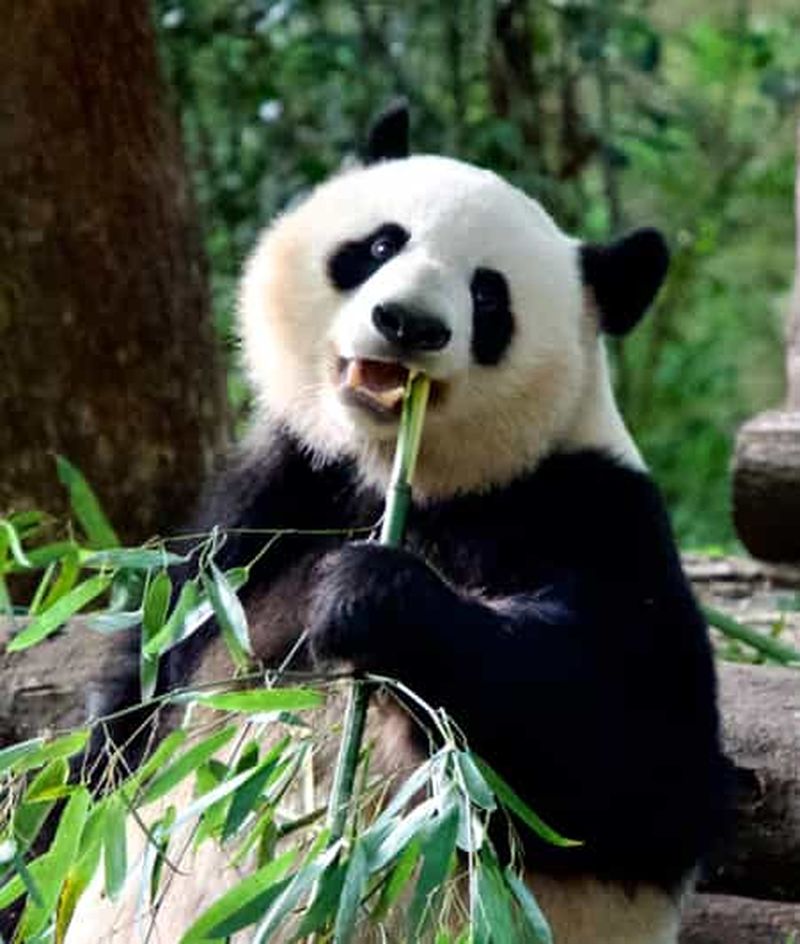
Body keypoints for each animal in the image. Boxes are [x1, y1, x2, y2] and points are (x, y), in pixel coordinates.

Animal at [66, 102, 726, 944]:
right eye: (381, 245)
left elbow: (644, 762)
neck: (399, 477)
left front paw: (365, 594)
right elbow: (143, 682)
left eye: (488, 297)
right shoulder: (277, 498)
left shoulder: (590, 512)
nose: (409, 323)